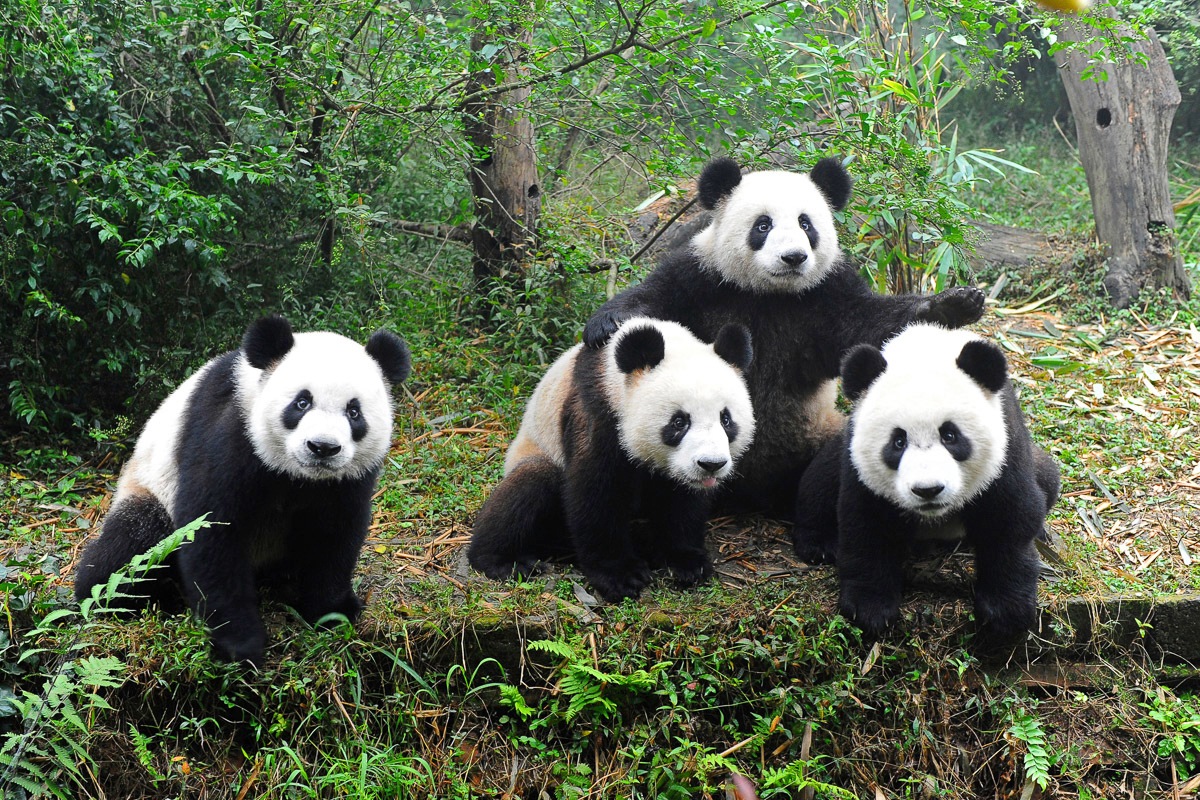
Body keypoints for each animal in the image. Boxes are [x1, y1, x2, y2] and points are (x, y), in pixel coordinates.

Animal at [74, 315, 412, 666]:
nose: (322, 447)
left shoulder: (347, 480)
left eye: (354, 412)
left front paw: (333, 612)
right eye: (302, 402)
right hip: (149, 486)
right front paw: (239, 644)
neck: (299, 475)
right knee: (134, 544)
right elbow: (211, 531)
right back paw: (133, 596)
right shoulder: (230, 432)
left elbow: (334, 534)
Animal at [468, 317, 756, 601]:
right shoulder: (597, 411)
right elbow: (596, 493)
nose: (711, 464)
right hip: (537, 453)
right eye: (679, 422)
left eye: (726, 419)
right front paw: (621, 577)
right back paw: (502, 560)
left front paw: (686, 562)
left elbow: (682, 501)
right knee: (530, 484)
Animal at [583, 156, 986, 515]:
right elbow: (655, 298)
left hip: (818, 433)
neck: (770, 294)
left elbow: (868, 325)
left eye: (806, 224)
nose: (793, 257)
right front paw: (606, 325)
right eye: (763, 225)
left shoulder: (826, 295)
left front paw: (953, 305)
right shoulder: (702, 279)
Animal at [791, 323, 1061, 645]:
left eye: (950, 435)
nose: (928, 490)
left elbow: (1010, 519)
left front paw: (1006, 612)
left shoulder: (1006, 448)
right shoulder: (860, 465)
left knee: (1048, 478)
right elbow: (866, 525)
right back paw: (818, 544)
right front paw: (870, 609)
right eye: (898, 441)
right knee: (821, 480)